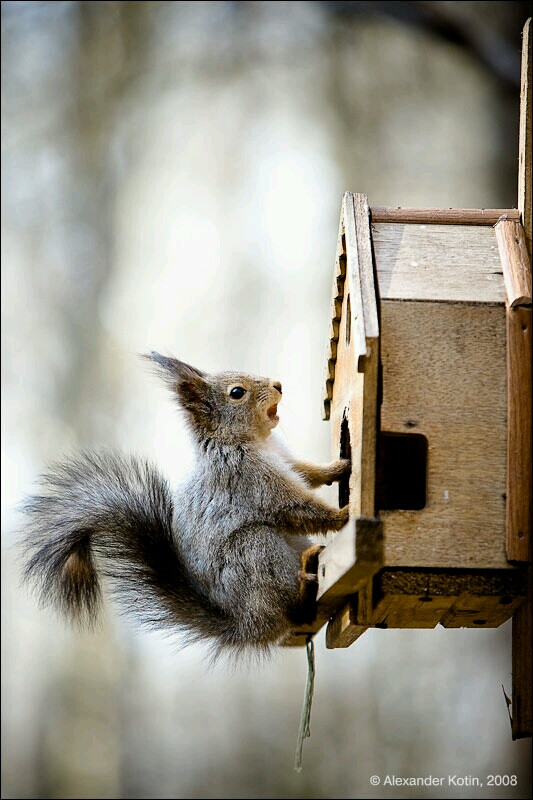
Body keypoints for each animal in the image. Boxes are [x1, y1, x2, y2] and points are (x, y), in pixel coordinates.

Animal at [20, 354, 352, 660]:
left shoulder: (285, 461)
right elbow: (295, 507)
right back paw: (305, 582)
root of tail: (248, 623)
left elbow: (307, 473)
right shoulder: (249, 479)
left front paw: (338, 468)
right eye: (236, 393)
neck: (250, 441)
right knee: (292, 608)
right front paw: (344, 514)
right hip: (254, 551)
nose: (278, 385)